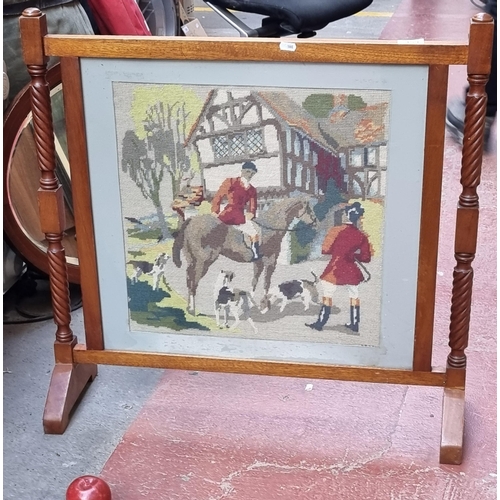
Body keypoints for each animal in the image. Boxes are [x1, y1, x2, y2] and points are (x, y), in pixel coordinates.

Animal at [173, 195, 316, 312]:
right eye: (309, 209)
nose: (315, 222)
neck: (270, 225)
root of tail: (192, 220)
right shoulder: (271, 260)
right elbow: (266, 282)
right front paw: (265, 305)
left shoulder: (258, 261)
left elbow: (255, 281)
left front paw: (252, 304)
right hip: (204, 261)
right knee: (194, 282)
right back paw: (193, 309)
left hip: (192, 260)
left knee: (188, 279)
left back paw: (189, 307)